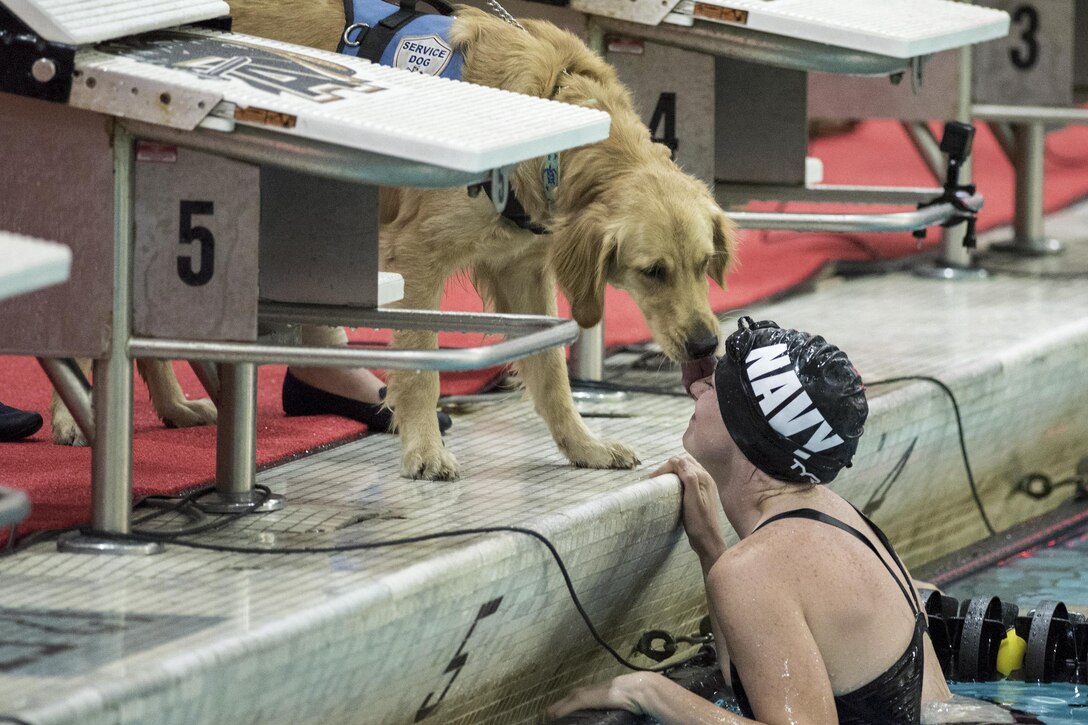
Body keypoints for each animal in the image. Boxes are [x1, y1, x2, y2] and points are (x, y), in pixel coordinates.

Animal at [108, 5, 731, 478]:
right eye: (652, 271)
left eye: (705, 265)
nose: (707, 346)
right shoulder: (418, 258)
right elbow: (420, 369)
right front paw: (425, 451)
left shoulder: (522, 270)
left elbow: (551, 370)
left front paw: (584, 446)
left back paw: (170, 405)